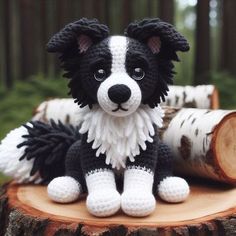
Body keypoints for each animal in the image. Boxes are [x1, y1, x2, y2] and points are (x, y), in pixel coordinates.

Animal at [0, 18, 190, 218]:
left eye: (139, 72)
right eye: (99, 73)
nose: (119, 92)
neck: (119, 121)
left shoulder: (145, 147)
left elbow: (141, 172)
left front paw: (137, 200)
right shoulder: (92, 147)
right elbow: (96, 173)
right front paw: (103, 200)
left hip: (162, 148)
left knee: (164, 163)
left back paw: (171, 185)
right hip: (76, 148)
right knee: (73, 165)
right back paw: (65, 185)